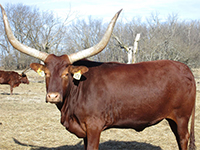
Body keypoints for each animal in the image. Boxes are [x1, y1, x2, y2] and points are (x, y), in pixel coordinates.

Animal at [0, 4, 196, 150]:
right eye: (46, 73)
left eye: (66, 74)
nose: (52, 96)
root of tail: (186, 69)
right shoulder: (85, 131)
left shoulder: (94, 127)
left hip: (181, 117)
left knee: (183, 139)